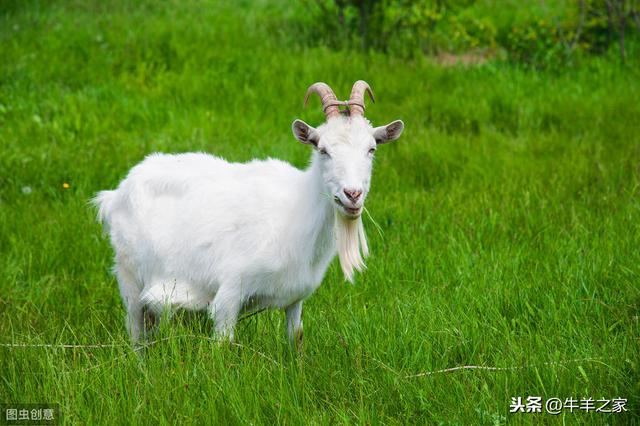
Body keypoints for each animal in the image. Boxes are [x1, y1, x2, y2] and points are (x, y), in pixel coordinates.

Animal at [94, 80, 404, 346]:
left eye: (371, 149)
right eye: (323, 149)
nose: (352, 194)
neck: (297, 209)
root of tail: (115, 195)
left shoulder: (295, 299)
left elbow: (296, 338)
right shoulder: (230, 292)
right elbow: (223, 344)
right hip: (129, 278)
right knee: (137, 334)